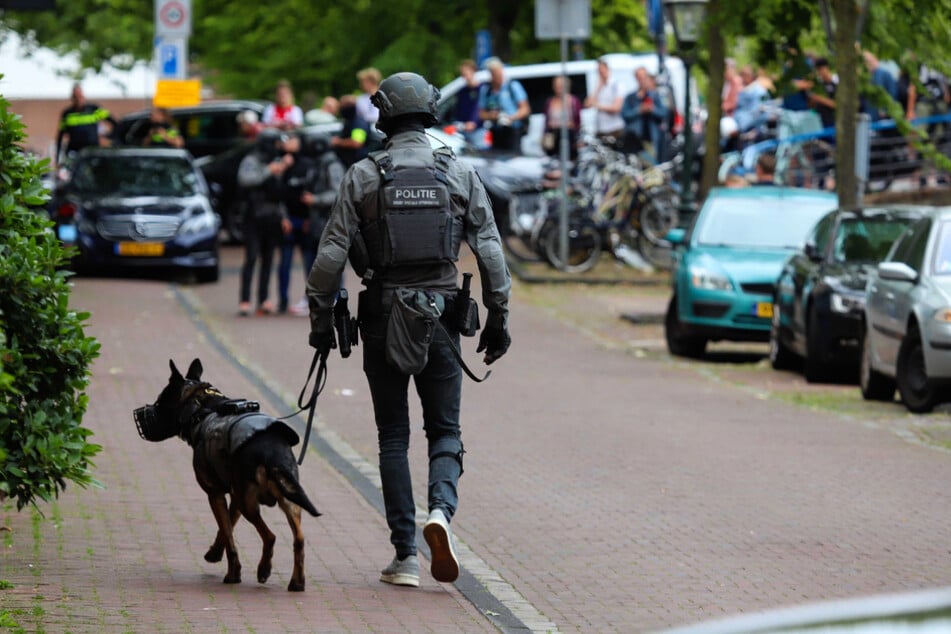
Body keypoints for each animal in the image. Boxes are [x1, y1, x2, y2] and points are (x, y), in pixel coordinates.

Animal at [138, 358, 322, 592]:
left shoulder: (215, 494)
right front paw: (215, 553)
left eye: (160, 403)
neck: (200, 408)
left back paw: (264, 569)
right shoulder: (235, 496)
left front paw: (233, 573)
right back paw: (297, 582)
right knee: (299, 539)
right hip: (287, 501)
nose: (142, 415)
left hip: (250, 504)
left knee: (270, 536)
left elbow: (228, 535)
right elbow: (226, 530)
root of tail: (271, 451)